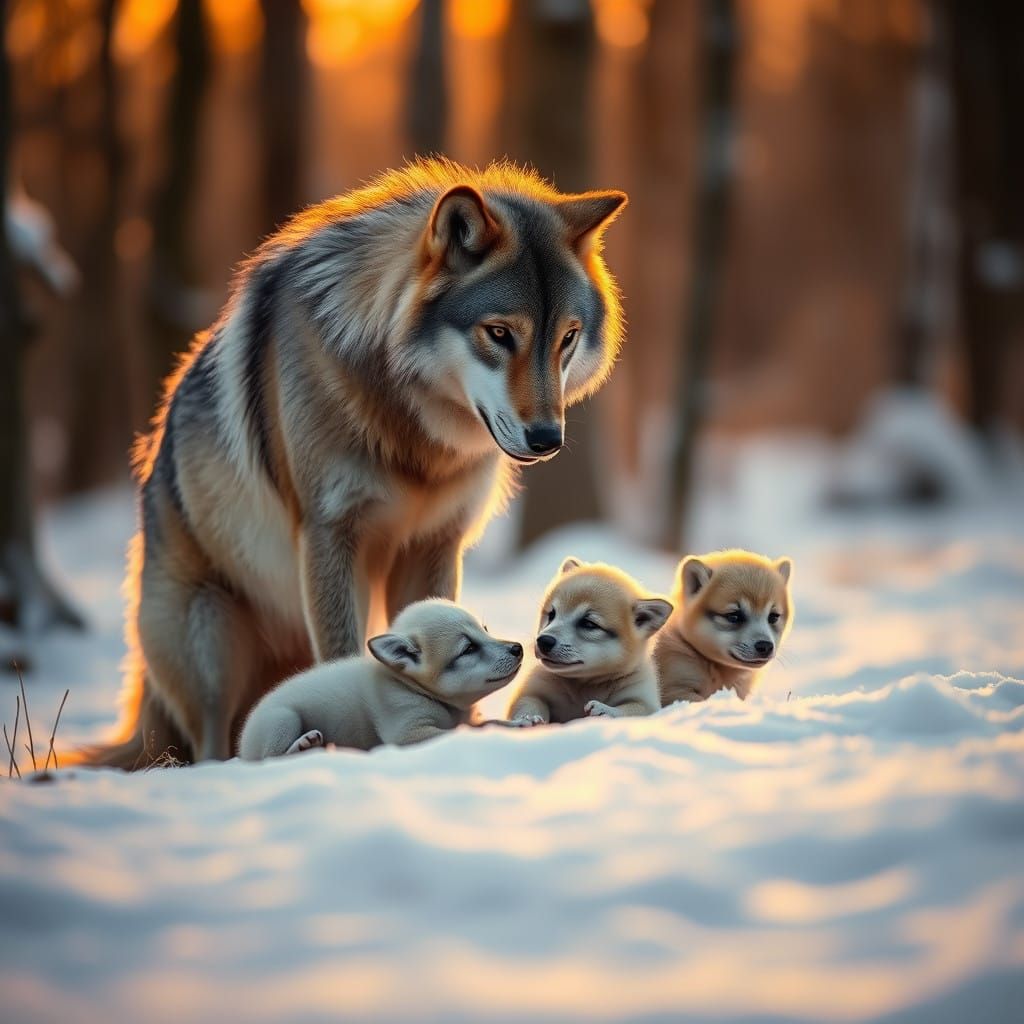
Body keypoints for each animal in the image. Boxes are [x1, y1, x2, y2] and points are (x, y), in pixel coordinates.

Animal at [73, 159, 627, 768]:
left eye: (567, 338)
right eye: (500, 333)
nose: (548, 438)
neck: (416, 437)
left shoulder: (436, 541)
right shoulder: (329, 534)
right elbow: (343, 650)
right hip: (210, 644)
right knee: (211, 745)